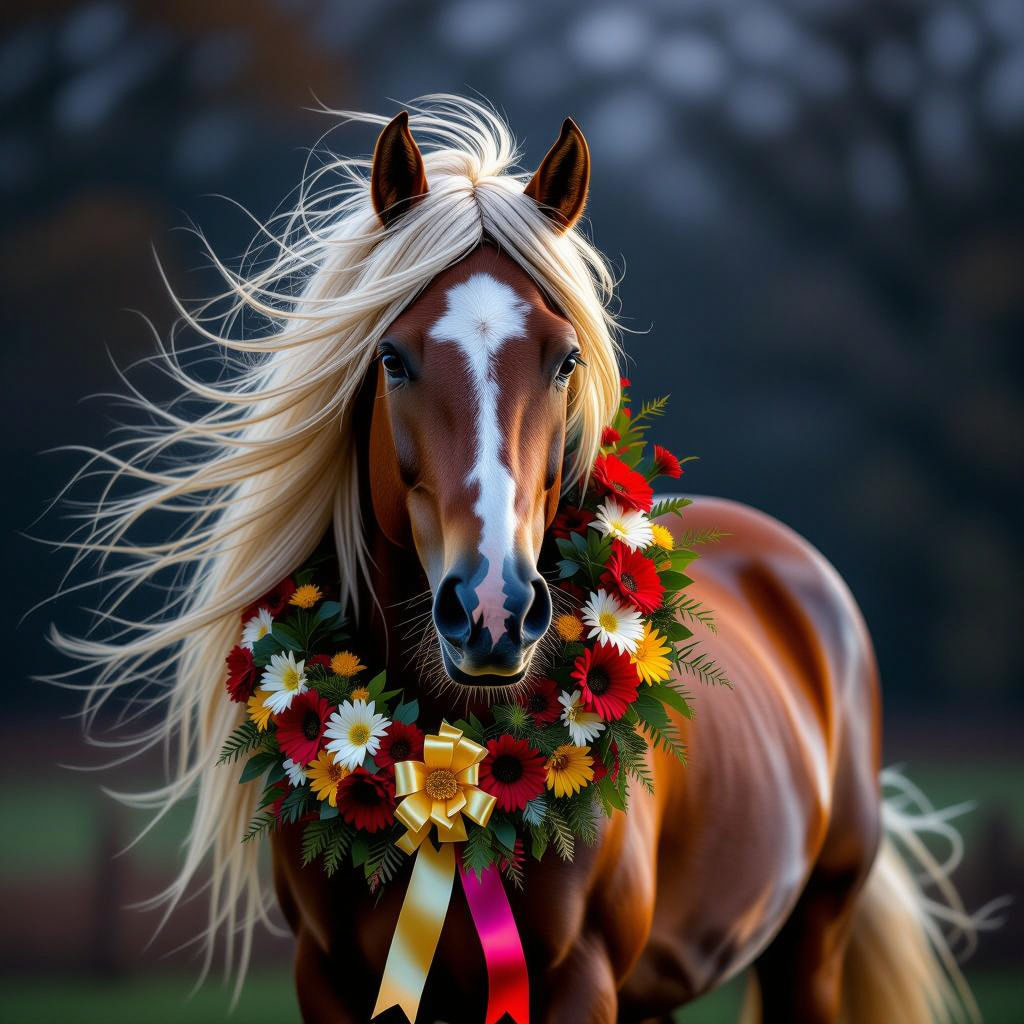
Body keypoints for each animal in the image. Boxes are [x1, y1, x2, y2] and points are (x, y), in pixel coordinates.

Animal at [53, 96, 985, 1024]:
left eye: (566, 358)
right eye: (391, 358)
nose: (494, 611)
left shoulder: (578, 981)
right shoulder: (330, 983)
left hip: (809, 946)